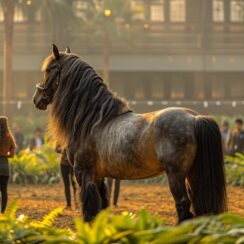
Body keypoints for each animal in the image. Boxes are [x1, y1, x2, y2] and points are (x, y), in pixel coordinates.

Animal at [32, 44, 227, 223]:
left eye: (48, 70)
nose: (36, 99)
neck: (93, 120)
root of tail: (194, 118)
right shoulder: (99, 176)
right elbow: (102, 207)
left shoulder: (84, 174)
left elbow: (90, 211)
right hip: (192, 175)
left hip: (176, 176)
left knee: (183, 206)